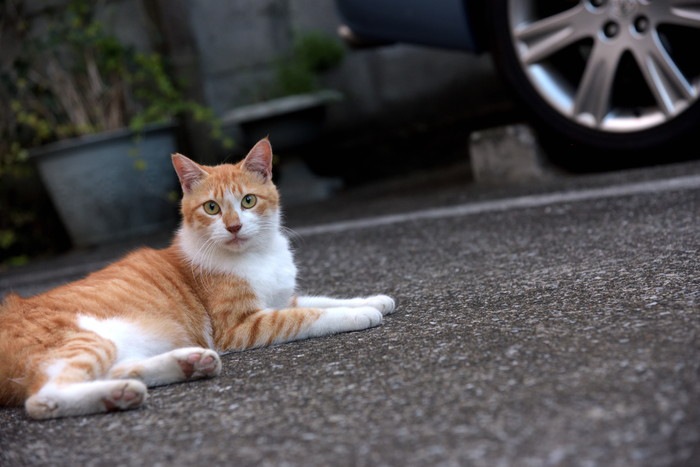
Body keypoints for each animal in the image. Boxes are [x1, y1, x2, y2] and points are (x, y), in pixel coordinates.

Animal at [0, 138, 394, 420]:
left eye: (248, 201)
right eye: (212, 208)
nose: (234, 227)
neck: (257, 256)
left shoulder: (282, 299)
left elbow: (321, 299)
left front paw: (374, 299)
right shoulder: (241, 326)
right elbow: (308, 316)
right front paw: (359, 314)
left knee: (121, 368)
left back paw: (184, 366)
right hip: (84, 340)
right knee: (43, 399)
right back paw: (119, 394)